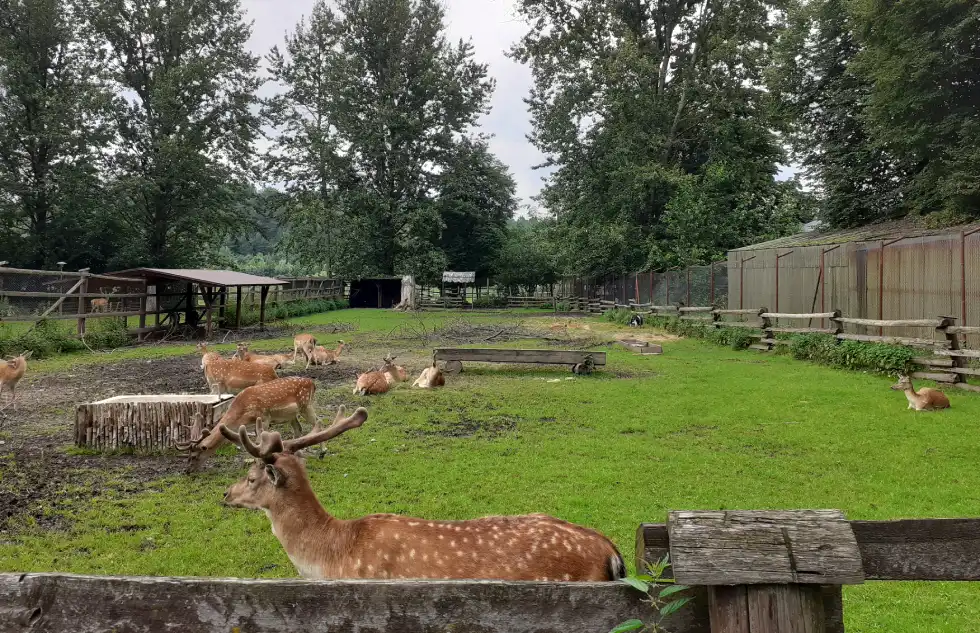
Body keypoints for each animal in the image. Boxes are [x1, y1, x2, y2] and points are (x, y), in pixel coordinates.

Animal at [172, 372, 318, 472]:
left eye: (194, 456)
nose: (187, 471)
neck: (242, 414)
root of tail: (313, 383)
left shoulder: (264, 418)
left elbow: (260, 441)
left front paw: (262, 464)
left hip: (306, 405)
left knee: (317, 422)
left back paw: (321, 453)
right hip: (292, 415)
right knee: (298, 429)